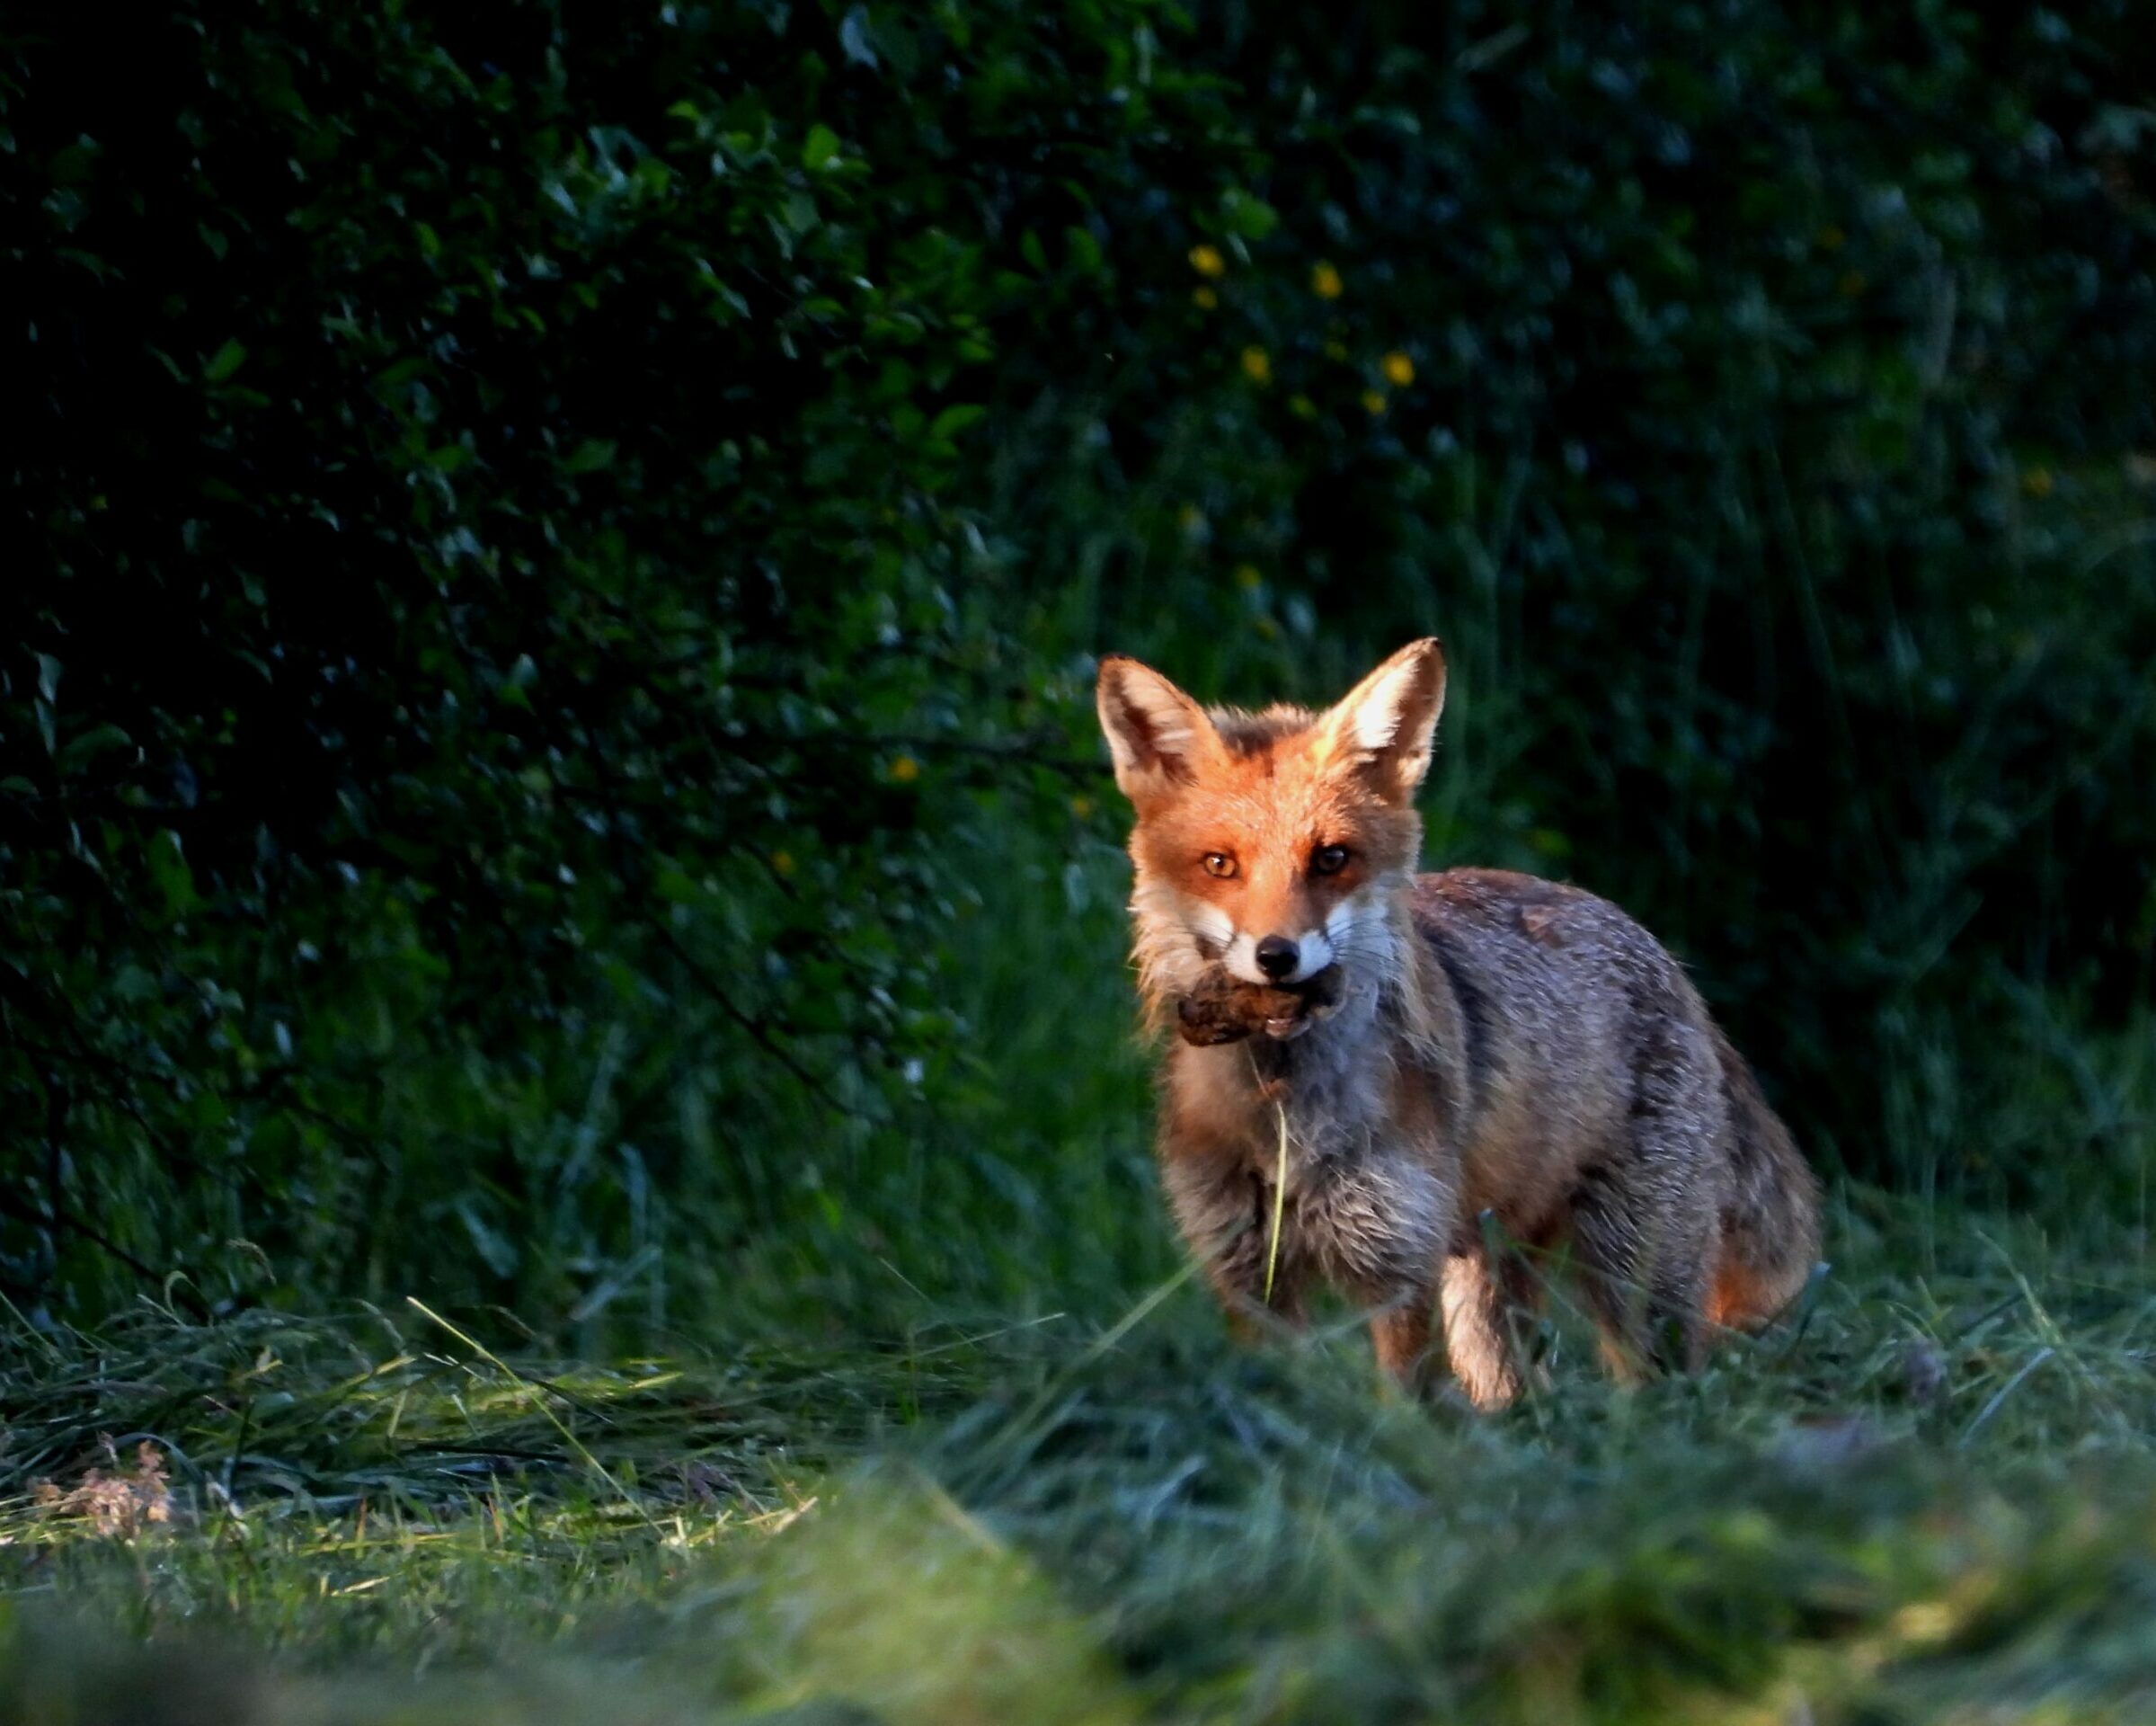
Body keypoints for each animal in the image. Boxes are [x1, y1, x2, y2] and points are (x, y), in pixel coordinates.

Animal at [1096, 638, 1821, 1408]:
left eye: (1330, 859)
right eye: (1219, 864)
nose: (1277, 958)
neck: (1286, 1128)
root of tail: (1658, 950)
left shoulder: (1395, 1255)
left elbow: (1404, 1397)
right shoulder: (1243, 1267)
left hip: (1630, 1270)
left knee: (1665, 1375)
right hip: (1488, 1288)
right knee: (1516, 1380)